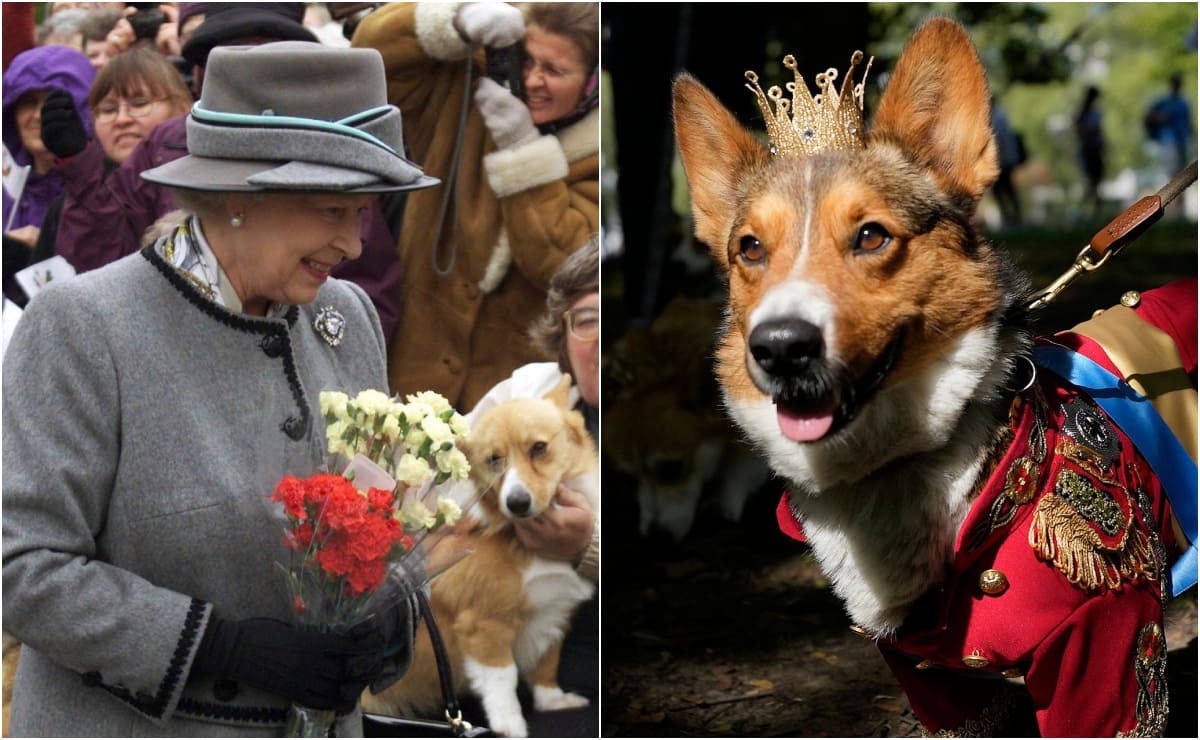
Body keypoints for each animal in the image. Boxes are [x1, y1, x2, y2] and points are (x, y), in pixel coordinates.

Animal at [360, 378, 595, 734]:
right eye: (493, 459)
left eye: (539, 448)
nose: (517, 503)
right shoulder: (485, 624)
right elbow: (503, 680)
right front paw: (510, 726)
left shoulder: (552, 613)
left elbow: (546, 664)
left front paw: (553, 701)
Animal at [676, 17, 1190, 738]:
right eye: (750, 248)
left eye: (870, 236)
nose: (779, 348)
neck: (892, 466)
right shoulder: (934, 682)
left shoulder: (1107, 641)